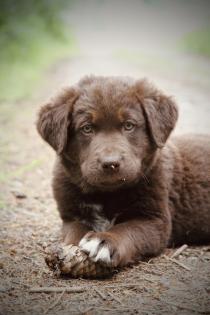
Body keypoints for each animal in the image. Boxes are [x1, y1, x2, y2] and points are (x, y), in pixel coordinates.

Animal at [37, 76, 210, 266]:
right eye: (87, 128)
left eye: (128, 125)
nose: (110, 163)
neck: (105, 194)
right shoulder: (71, 217)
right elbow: (75, 232)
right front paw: (71, 253)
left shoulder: (154, 220)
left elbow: (128, 228)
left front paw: (104, 241)